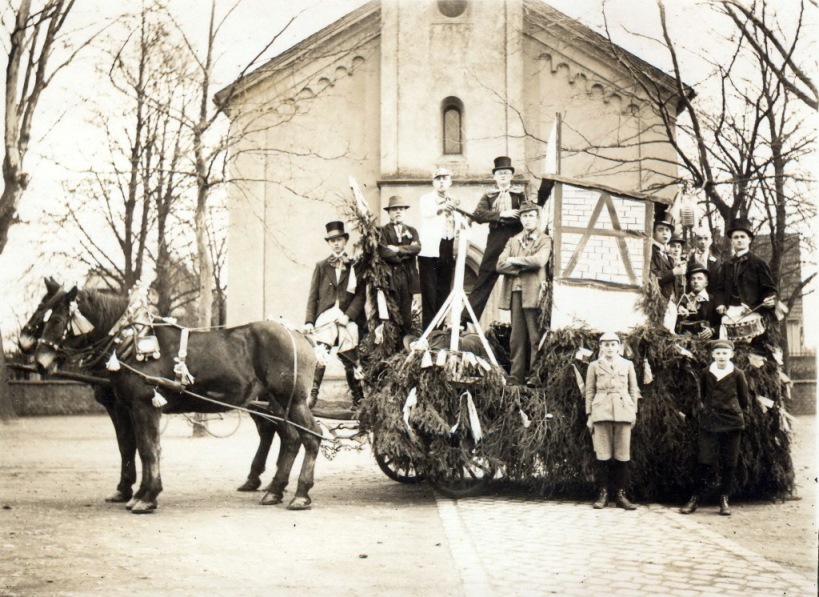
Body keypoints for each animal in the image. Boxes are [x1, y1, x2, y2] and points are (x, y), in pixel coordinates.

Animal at [32, 286, 320, 512]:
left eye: (56, 320)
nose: (39, 362)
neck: (131, 343)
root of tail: (300, 335)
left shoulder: (144, 406)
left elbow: (148, 449)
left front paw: (146, 497)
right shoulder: (129, 408)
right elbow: (137, 447)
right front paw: (138, 493)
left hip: (293, 401)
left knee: (311, 437)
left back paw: (301, 494)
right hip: (276, 403)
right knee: (290, 439)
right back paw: (274, 490)